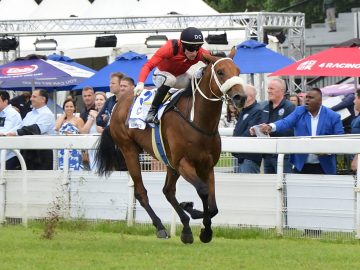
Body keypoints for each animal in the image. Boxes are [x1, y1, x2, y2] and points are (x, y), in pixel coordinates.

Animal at [95, 49, 246, 245]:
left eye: (238, 70)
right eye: (220, 72)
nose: (240, 97)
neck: (198, 121)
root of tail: (117, 104)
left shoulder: (207, 166)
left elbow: (213, 206)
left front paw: (202, 226)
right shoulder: (183, 163)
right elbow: (203, 191)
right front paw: (200, 223)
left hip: (168, 162)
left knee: (168, 191)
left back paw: (186, 229)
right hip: (129, 151)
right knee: (141, 192)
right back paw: (161, 227)